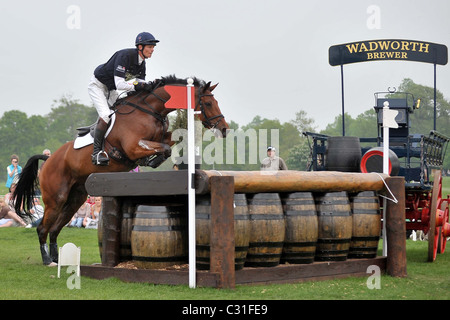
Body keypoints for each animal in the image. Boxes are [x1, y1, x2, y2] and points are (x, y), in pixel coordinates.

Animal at [13, 75, 229, 264]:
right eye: (208, 103)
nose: (224, 129)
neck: (150, 110)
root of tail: (49, 159)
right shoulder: (134, 146)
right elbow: (163, 148)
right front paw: (152, 160)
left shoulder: (161, 137)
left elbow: (172, 140)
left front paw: (156, 159)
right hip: (56, 198)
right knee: (43, 228)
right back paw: (47, 260)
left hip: (75, 199)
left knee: (55, 228)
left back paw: (57, 259)